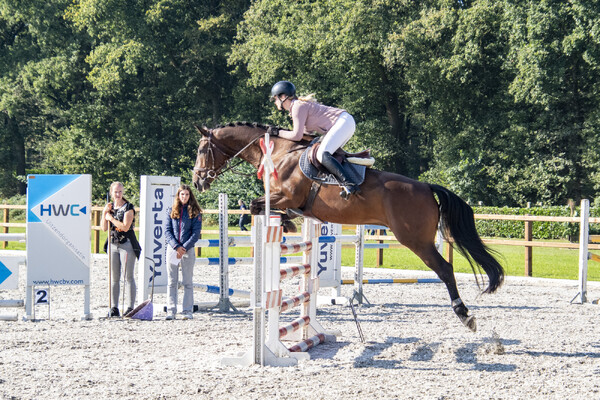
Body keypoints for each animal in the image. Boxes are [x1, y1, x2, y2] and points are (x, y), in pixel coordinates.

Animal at [192, 122, 502, 332]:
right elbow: (264, 209)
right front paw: (289, 222)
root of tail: (426, 186)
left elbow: (258, 206)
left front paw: (287, 220)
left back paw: (464, 314)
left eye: (202, 149)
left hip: (416, 241)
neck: (279, 153)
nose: (197, 181)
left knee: (445, 269)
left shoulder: (286, 196)